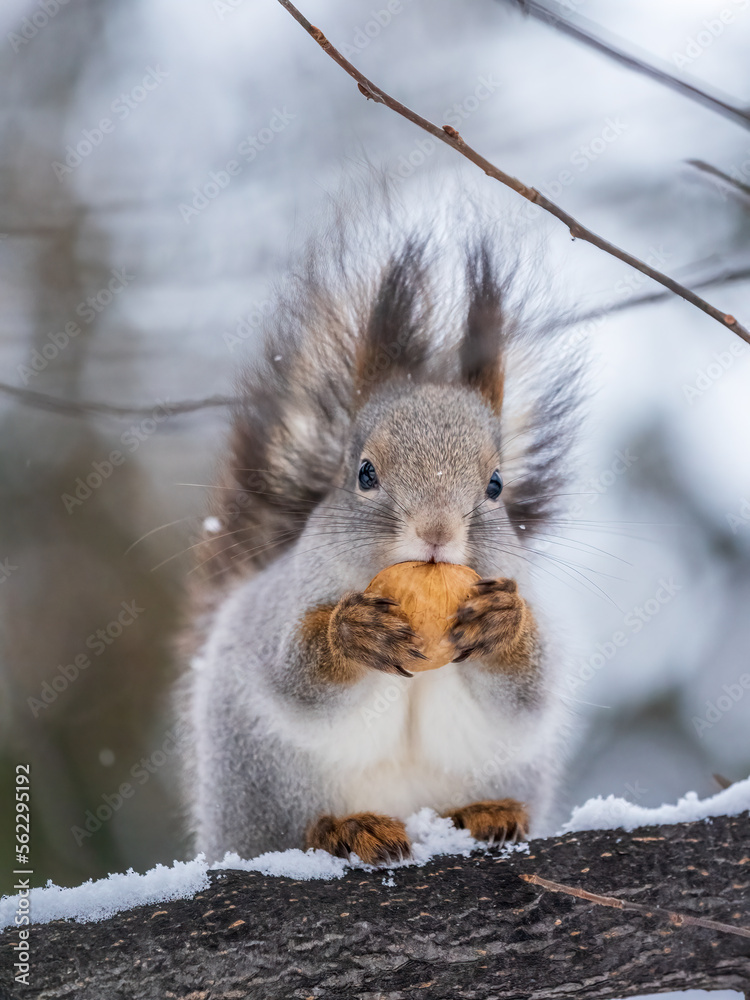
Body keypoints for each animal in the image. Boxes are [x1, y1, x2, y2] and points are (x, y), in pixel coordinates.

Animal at [178, 206, 583, 866]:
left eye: (497, 485)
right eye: (364, 473)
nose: (436, 532)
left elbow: (527, 688)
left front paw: (503, 621)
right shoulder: (289, 598)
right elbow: (295, 673)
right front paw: (352, 632)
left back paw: (487, 813)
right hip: (262, 782)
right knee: (293, 831)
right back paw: (345, 829)